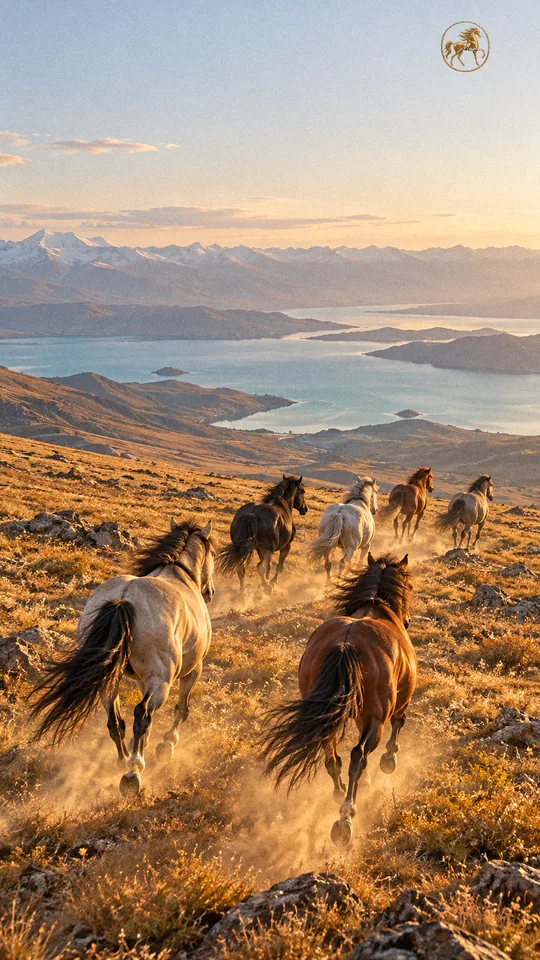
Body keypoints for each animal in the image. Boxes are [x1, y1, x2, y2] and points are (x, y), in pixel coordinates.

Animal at [29, 518, 215, 798]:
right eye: (213, 553)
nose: (210, 592)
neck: (178, 575)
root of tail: (124, 598)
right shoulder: (193, 670)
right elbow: (181, 710)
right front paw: (166, 746)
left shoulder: (140, 679)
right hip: (161, 681)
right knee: (141, 714)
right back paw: (133, 771)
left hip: (110, 680)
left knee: (115, 721)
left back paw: (123, 759)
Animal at [260, 553, 416, 848]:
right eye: (410, 587)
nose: (409, 621)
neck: (377, 608)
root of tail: (346, 644)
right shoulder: (399, 702)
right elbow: (397, 726)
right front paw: (389, 760)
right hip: (375, 718)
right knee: (358, 756)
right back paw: (345, 818)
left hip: (327, 718)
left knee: (331, 757)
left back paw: (339, 792)